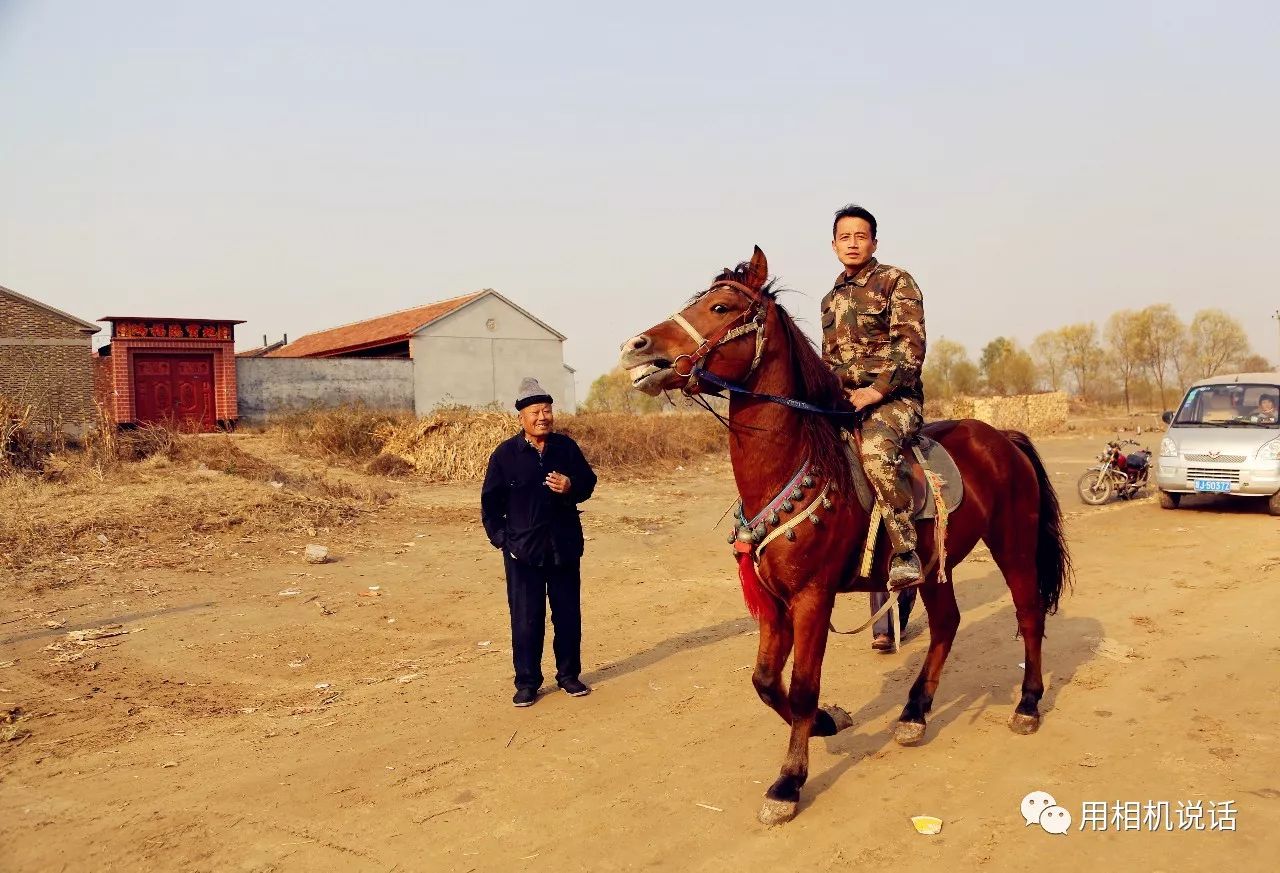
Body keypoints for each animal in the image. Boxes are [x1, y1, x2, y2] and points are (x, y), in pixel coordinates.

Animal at [619, 247, 1070, 824]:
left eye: (720, 307)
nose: (637, 347)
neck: (797, 465)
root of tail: (1003, 437)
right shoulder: (774, 600)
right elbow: (765, 681)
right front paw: (828, 722)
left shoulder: (813, 597)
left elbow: (803, 686)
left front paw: (788, 782)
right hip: (934, 566)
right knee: (946, 624)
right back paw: (914, 712)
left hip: (1013, 543)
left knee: (1029, 614)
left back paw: (1028, 704)